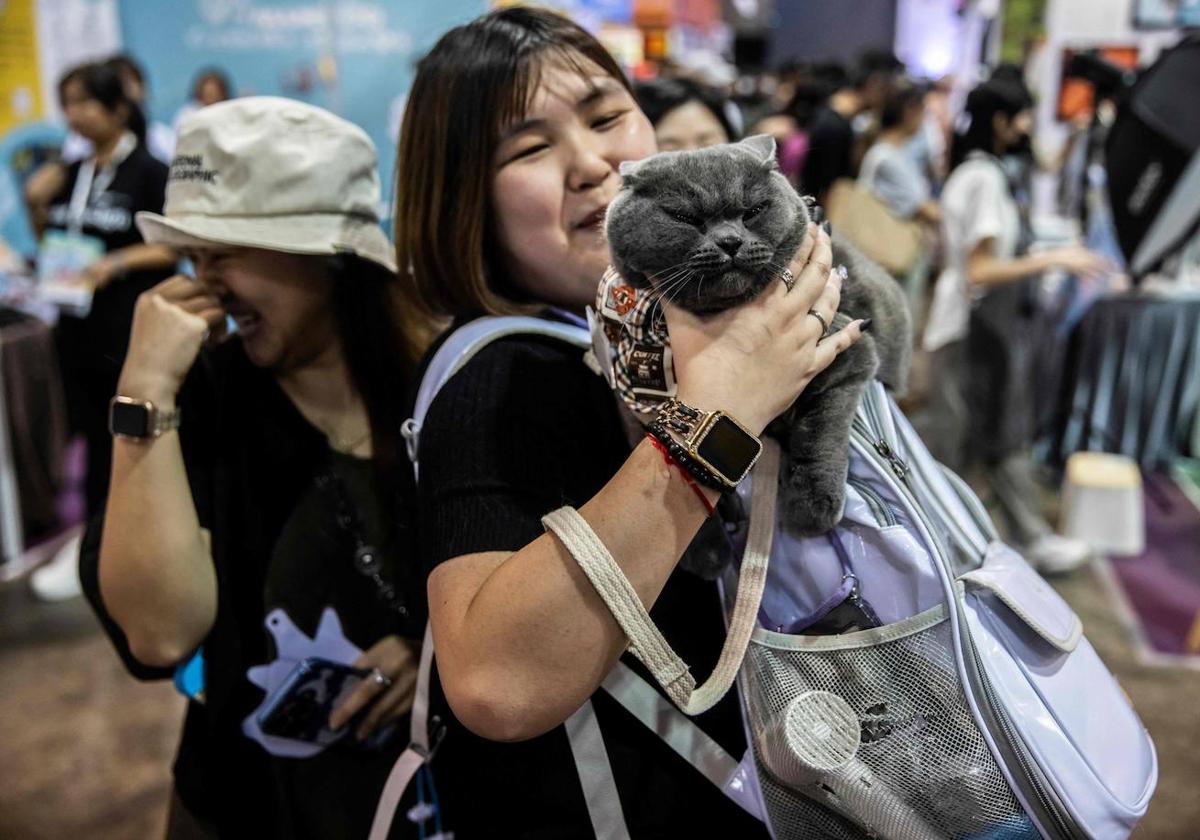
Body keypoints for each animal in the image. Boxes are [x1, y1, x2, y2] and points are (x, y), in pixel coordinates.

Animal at [609, 133, 907, 535]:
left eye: (753, 211)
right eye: (684, 218)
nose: (730, 241)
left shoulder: (851, 351)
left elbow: (820, 430)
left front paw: (812, 505)